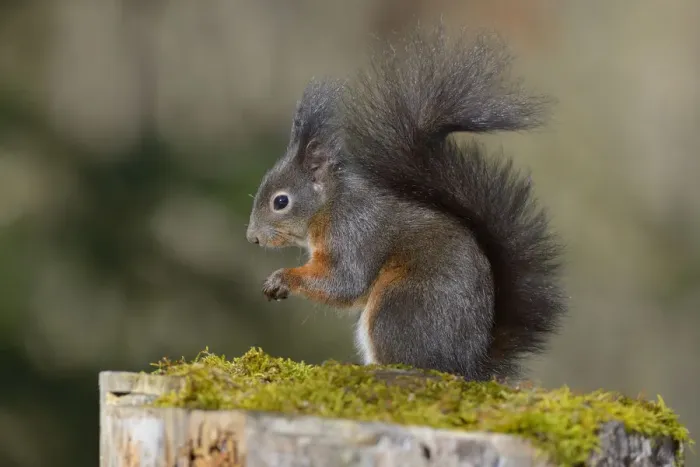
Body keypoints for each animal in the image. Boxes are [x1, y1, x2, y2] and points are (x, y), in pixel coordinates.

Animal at [245, 24, 566, 381]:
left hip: (397, 307)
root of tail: (466, 367)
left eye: (281, 201)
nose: (252, 237)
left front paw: (282, 278)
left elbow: (344, 282)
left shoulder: (353, 233)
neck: (330, 206)